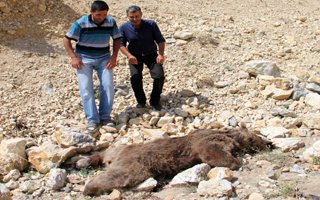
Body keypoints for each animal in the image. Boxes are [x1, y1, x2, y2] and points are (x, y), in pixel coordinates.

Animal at [79, 126, 272, 196]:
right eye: (257, 138)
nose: (269, 143)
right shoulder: (207, 142)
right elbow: (211, 153)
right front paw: (238, 162)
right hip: (135, 164)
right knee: (120, 175)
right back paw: (88, 188)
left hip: (120, 149)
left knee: (106, 151)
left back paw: (83, 161)